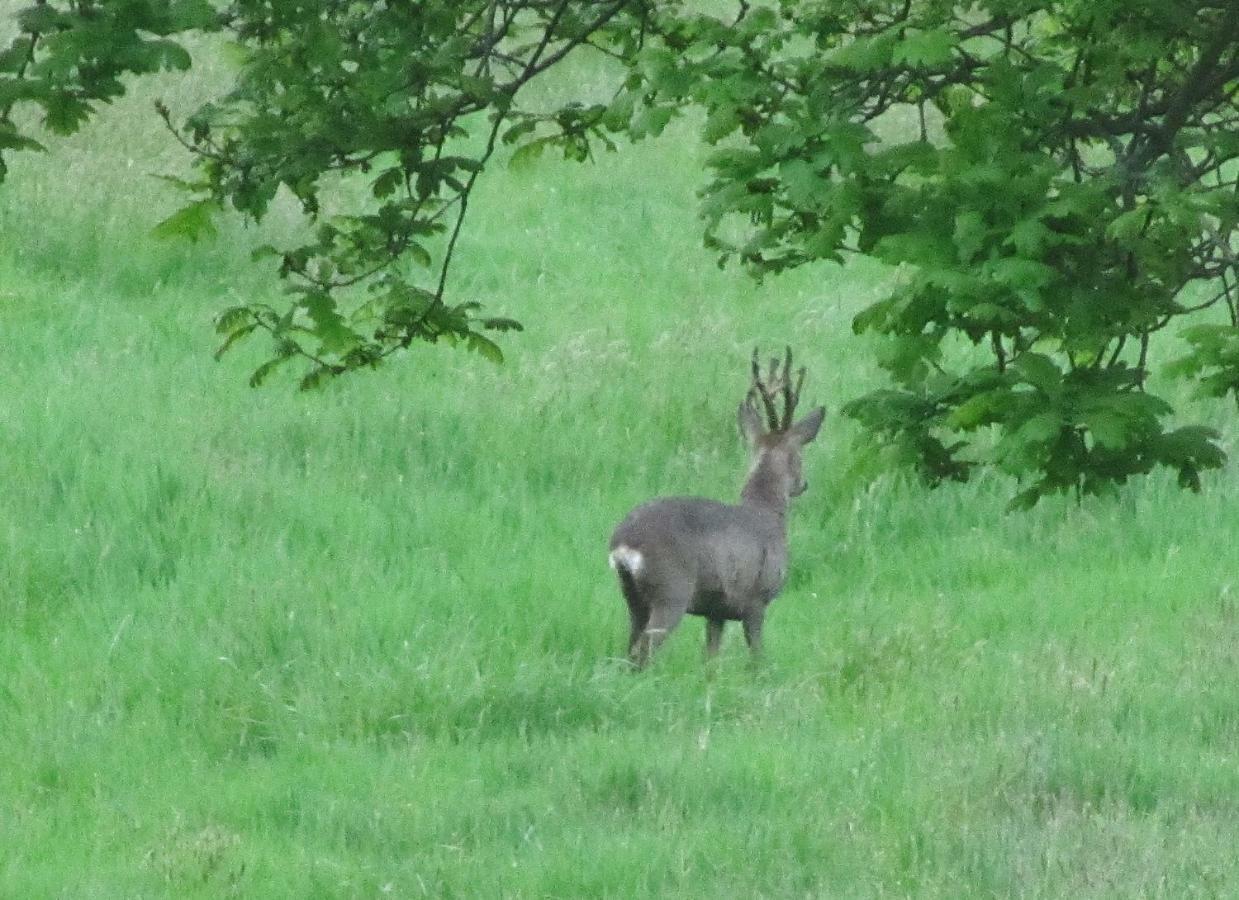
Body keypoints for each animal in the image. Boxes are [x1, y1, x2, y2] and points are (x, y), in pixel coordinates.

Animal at [607, 347, 822, 669]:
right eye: (799, 455)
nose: (803, 483)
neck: (768, 514)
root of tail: (623, 544)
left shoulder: (716, 611)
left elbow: (710, 659)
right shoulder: (757, 600)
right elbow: (757, 657)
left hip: (632, 597)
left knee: (630, 649)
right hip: (671, 590)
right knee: (645, 651)